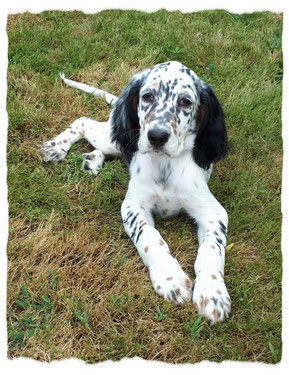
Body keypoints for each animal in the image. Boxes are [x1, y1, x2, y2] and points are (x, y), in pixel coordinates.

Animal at [41, 61, 230, 324]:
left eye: (185, 101)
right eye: (147, 96)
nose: (157, 137)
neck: (165, 164)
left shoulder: (213, 212)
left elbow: (213, 249)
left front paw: (212, 293)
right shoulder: (133, 206)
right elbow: (149, 237)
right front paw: (170, 278)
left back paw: (92, 160)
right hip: (114, 136)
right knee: (85, 121)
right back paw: (57, 147)